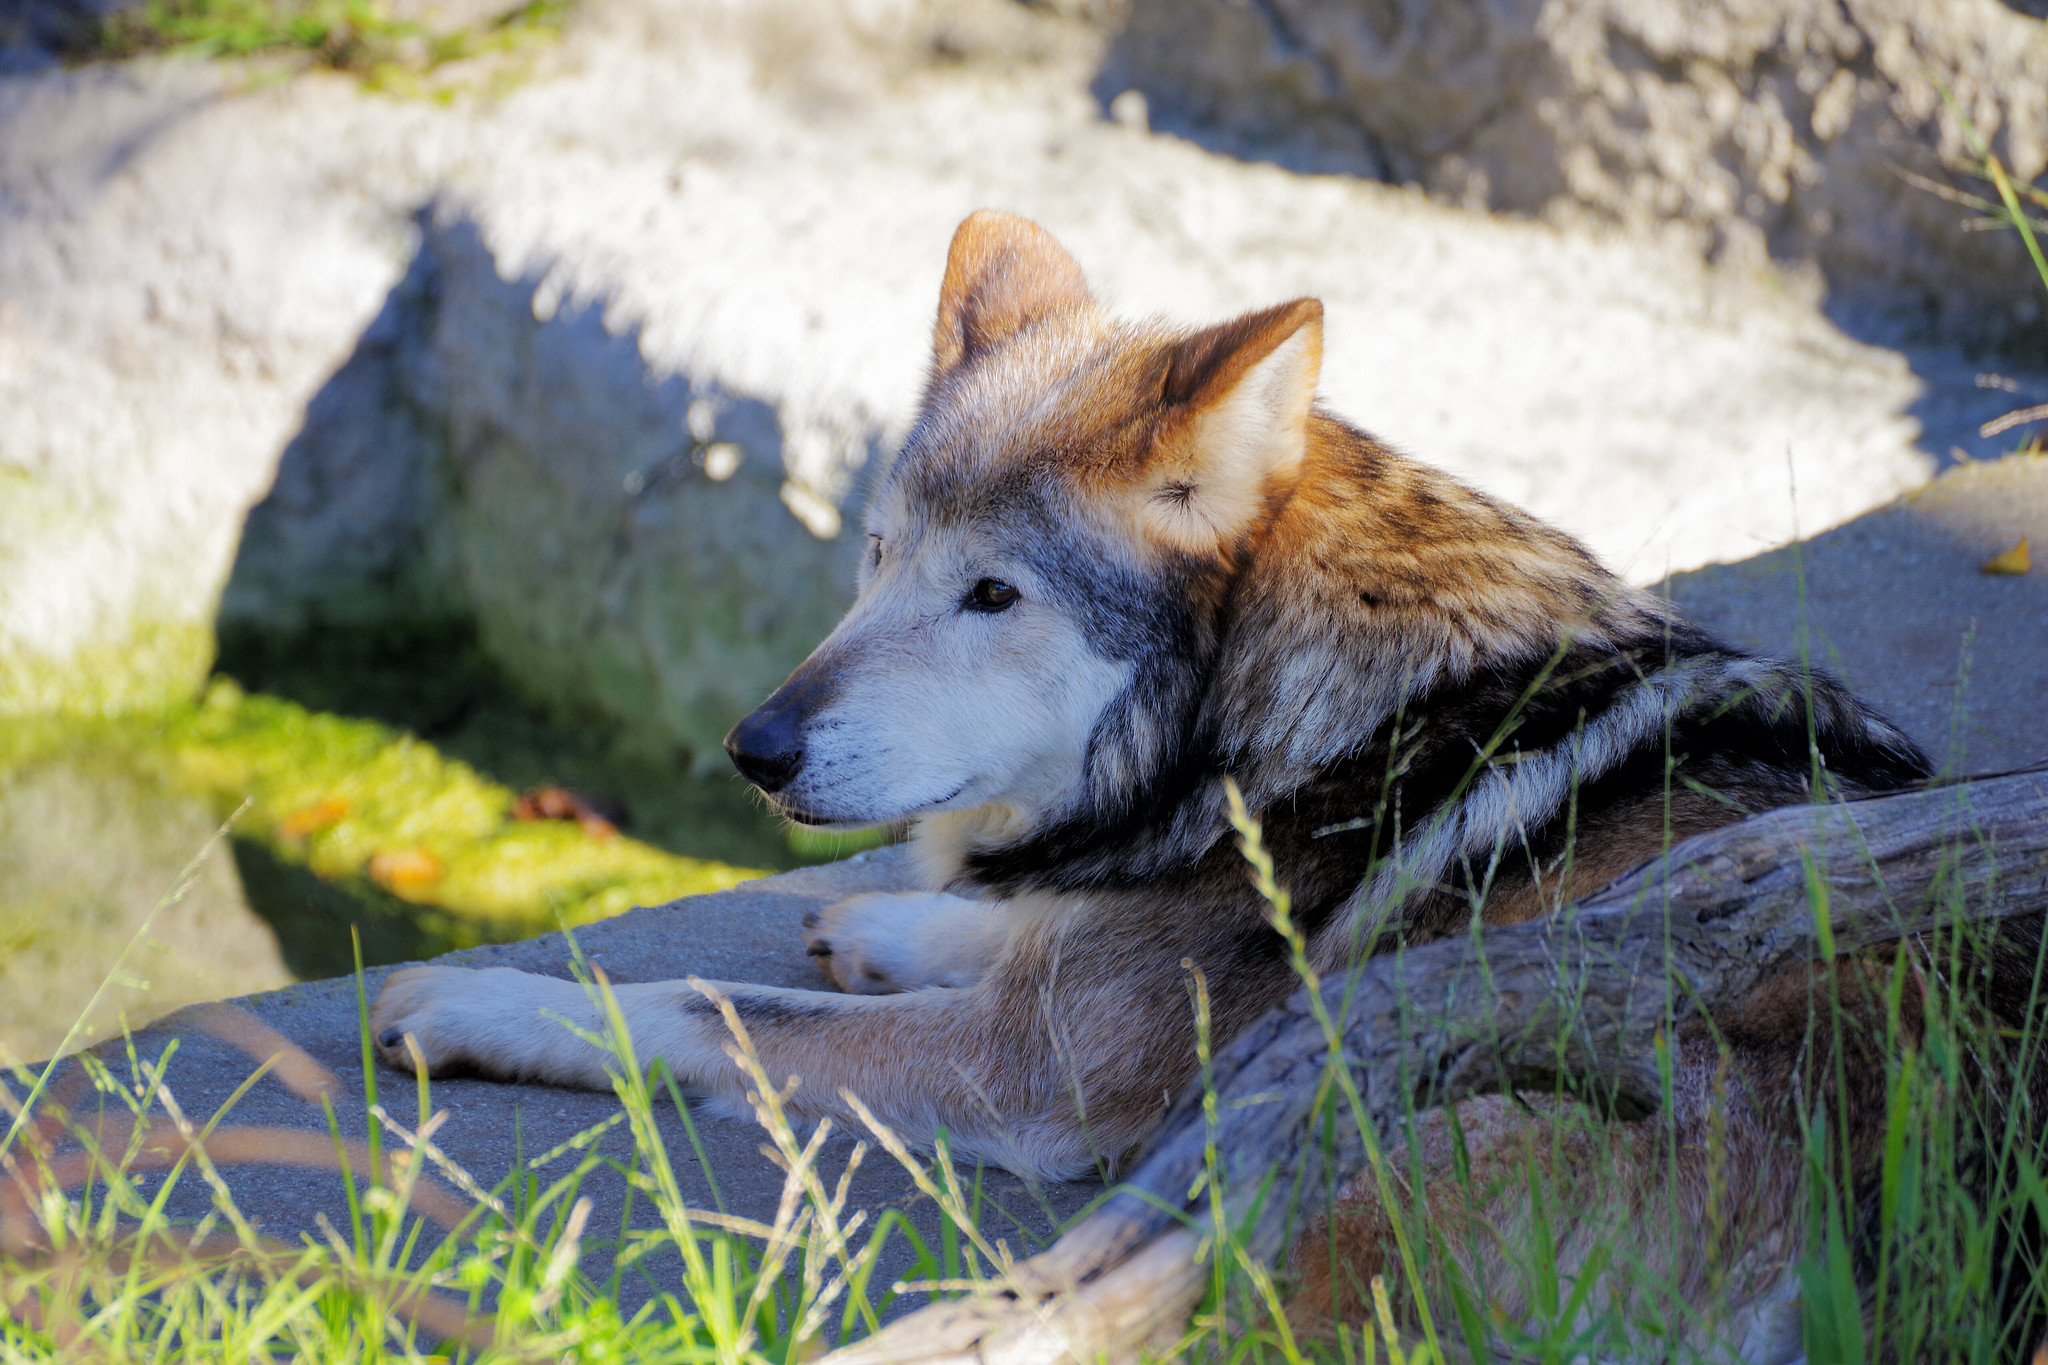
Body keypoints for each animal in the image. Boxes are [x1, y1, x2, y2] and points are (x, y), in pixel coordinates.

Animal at [376, 210, 2007, 1342]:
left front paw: (479, 1001)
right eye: (879, 557)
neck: (1265, 731)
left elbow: (699, 1002)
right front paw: (894, 922)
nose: (752, 748)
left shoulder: (1032, 1074)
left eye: (994, 596)